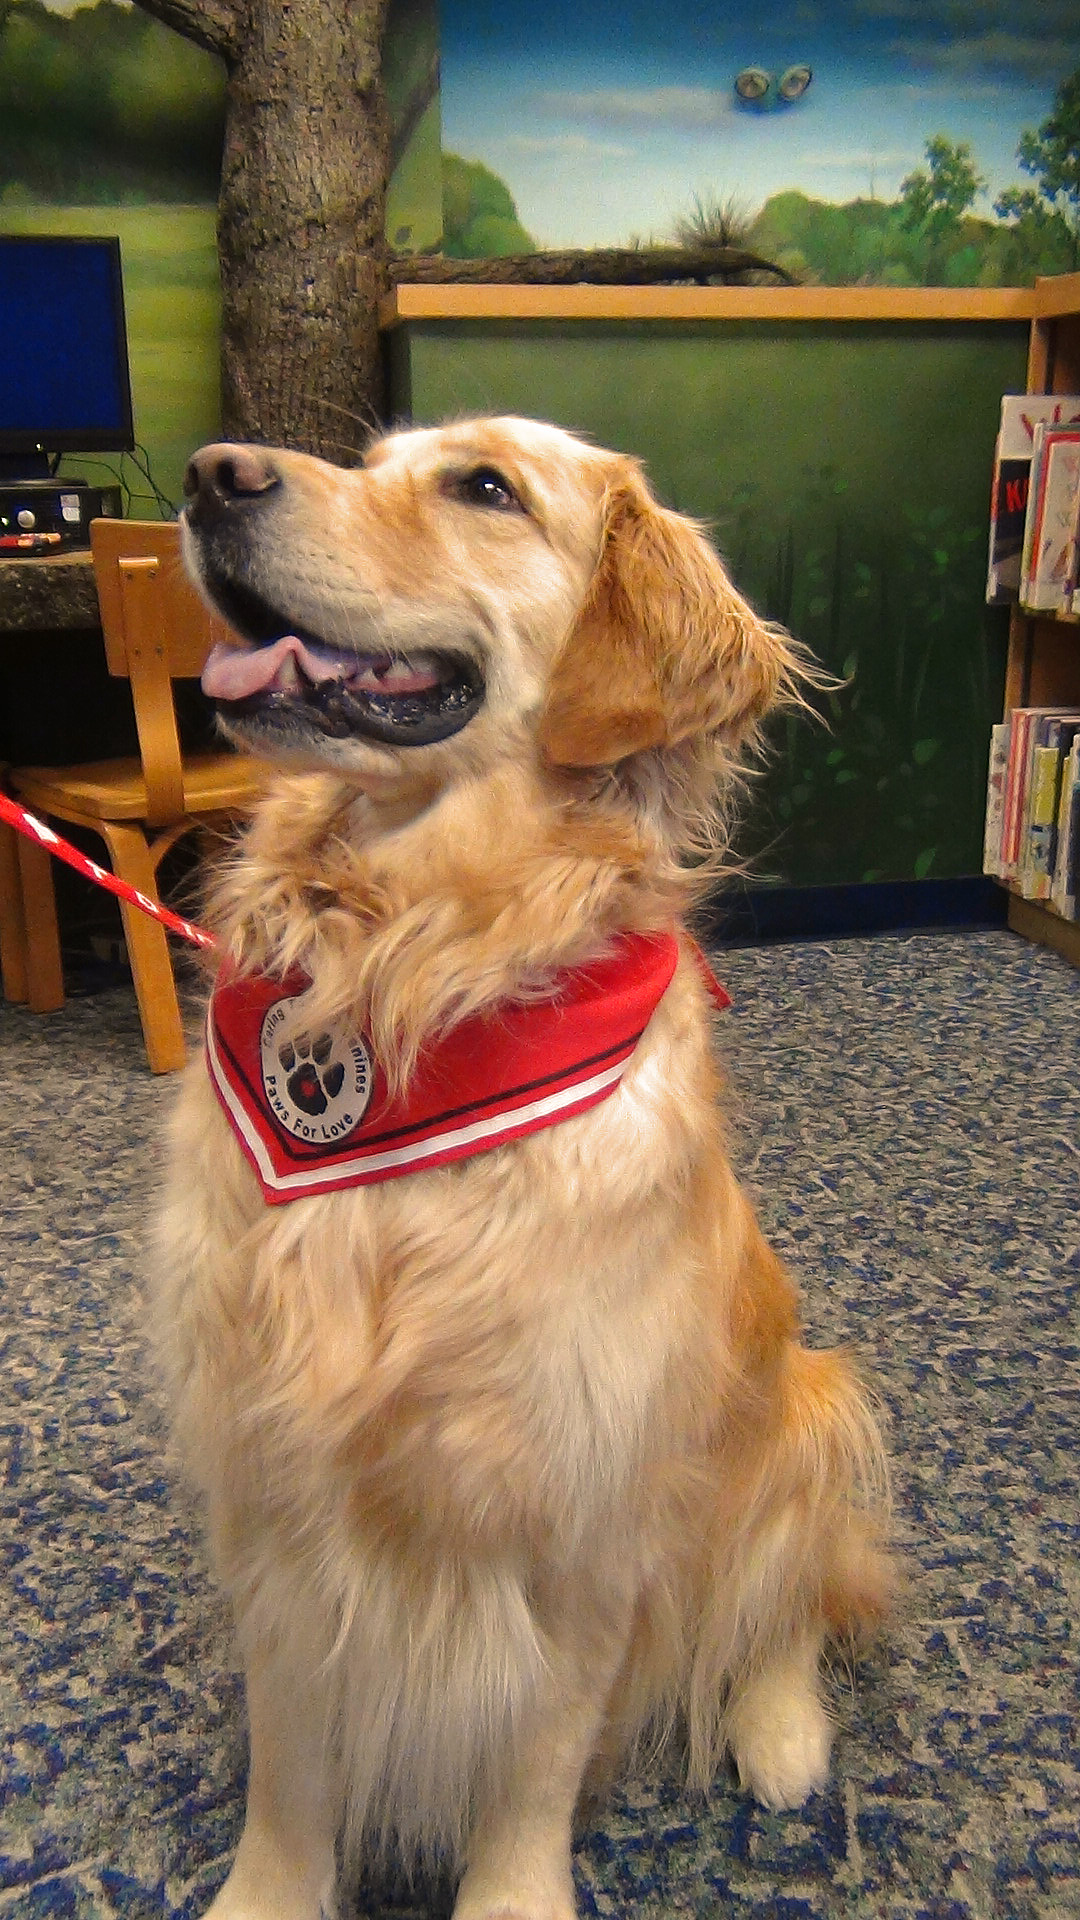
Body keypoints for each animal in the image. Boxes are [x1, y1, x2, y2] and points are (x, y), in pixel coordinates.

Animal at [155, 416, 887, 1920]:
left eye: (485, 488)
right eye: (375, 459)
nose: (207, 476)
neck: (407, 973)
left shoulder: (580, 1526)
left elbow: (531, 1773)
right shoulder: (271, 1487)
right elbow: (289, 1772)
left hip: (811, 1407)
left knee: (789, 1596)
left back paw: (783, 1735)